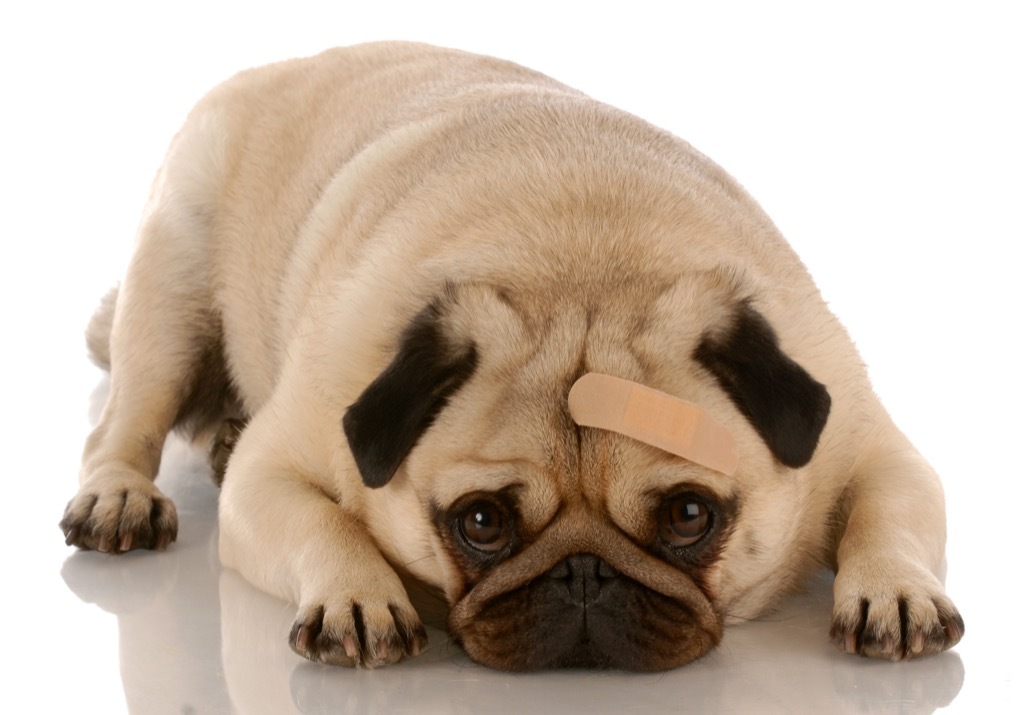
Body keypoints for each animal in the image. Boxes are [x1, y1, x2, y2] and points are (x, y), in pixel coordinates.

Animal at [59, 43, 962, 667]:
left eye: (689, 515)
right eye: (482, 523)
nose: (585, 573)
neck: (585, 258)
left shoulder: (868, 442)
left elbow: (890, 510)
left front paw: (894, 588)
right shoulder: (273, 471)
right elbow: (326, 522)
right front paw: (358, 593)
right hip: (171, 283)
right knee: (122, 426)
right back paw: (119, 496)